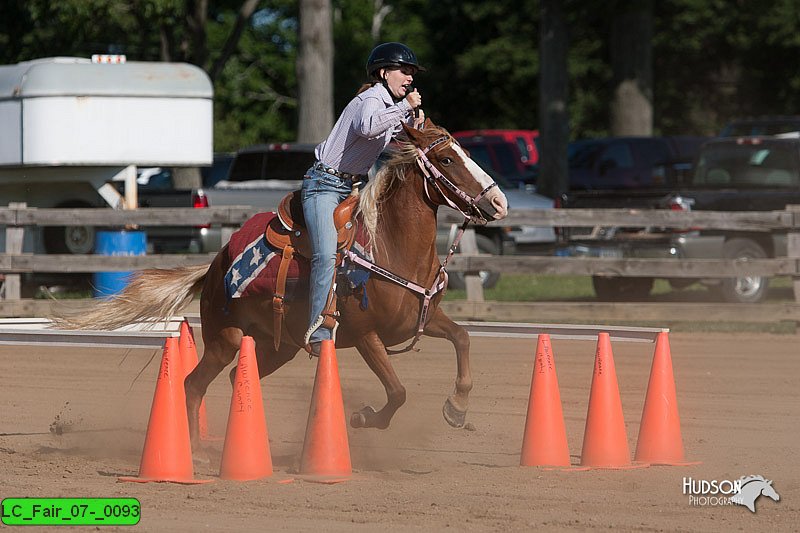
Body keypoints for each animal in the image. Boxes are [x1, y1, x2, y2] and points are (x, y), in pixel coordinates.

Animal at [53, 119, 510, 444]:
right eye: (447, 160)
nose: (499, 201)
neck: (390, 247)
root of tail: (216, 264)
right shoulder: (366, 334)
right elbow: (397, 392)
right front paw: (362, 416)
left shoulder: (423, 319)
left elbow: (463, 338)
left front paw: (457, 408)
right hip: (225, 339)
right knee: (192, 383)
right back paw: (195, 449)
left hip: (280, 347)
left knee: (237, 378)